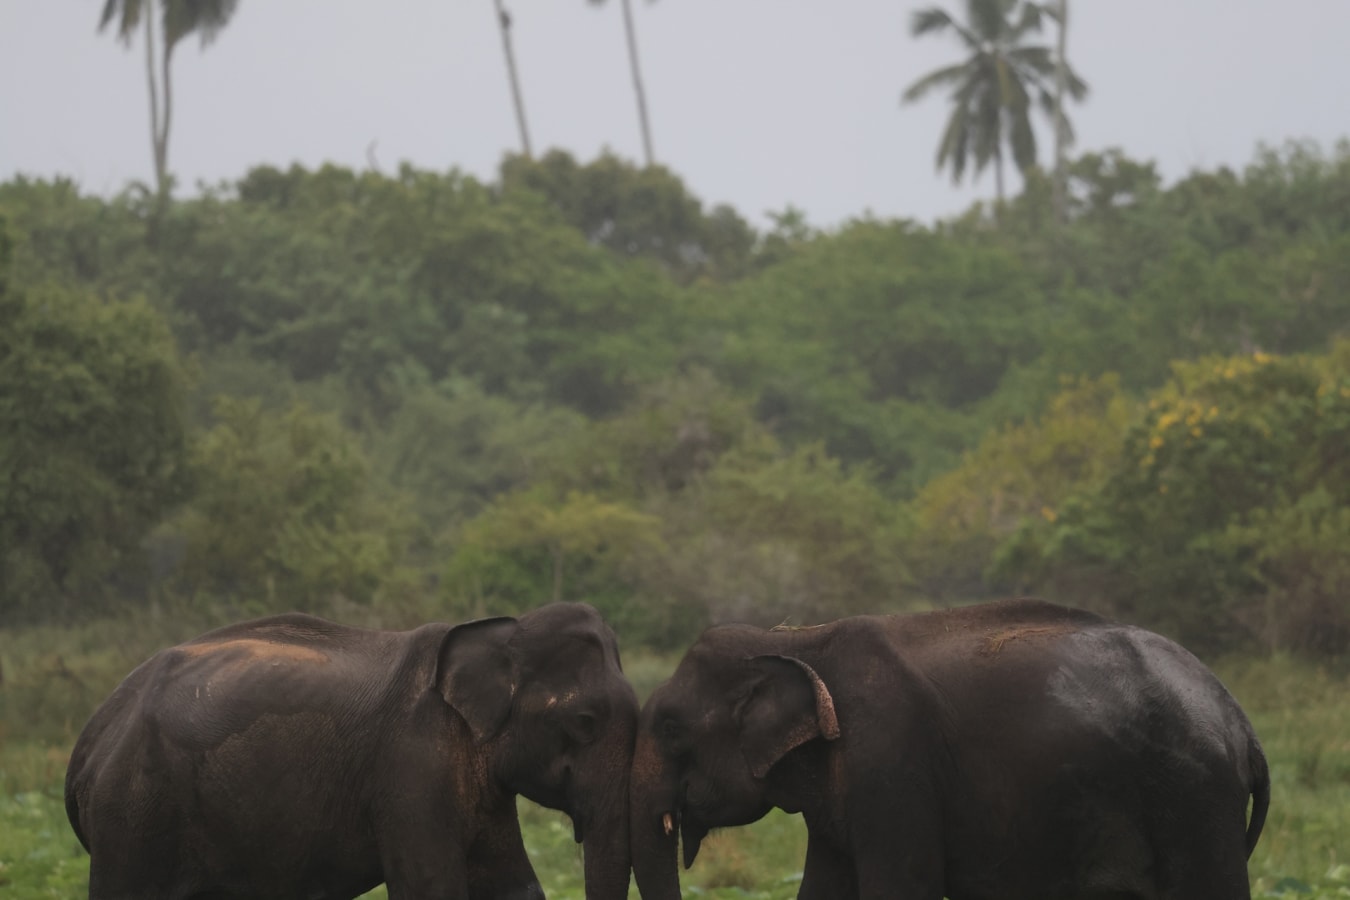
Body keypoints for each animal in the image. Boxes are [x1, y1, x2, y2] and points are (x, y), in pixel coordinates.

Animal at [65, 602, 638, 900]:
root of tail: (91, 736)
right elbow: (431, 888)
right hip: (134, 812)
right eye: (585, 722)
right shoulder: (412, 763)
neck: (506, 628)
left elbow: (514, 889)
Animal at [631, 598, 1270, 900]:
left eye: (669, 726)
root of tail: (1243, 724)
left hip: (1194, 798)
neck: (798, 638)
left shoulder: (893, 760)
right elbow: (823, 891)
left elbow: (901, 890)